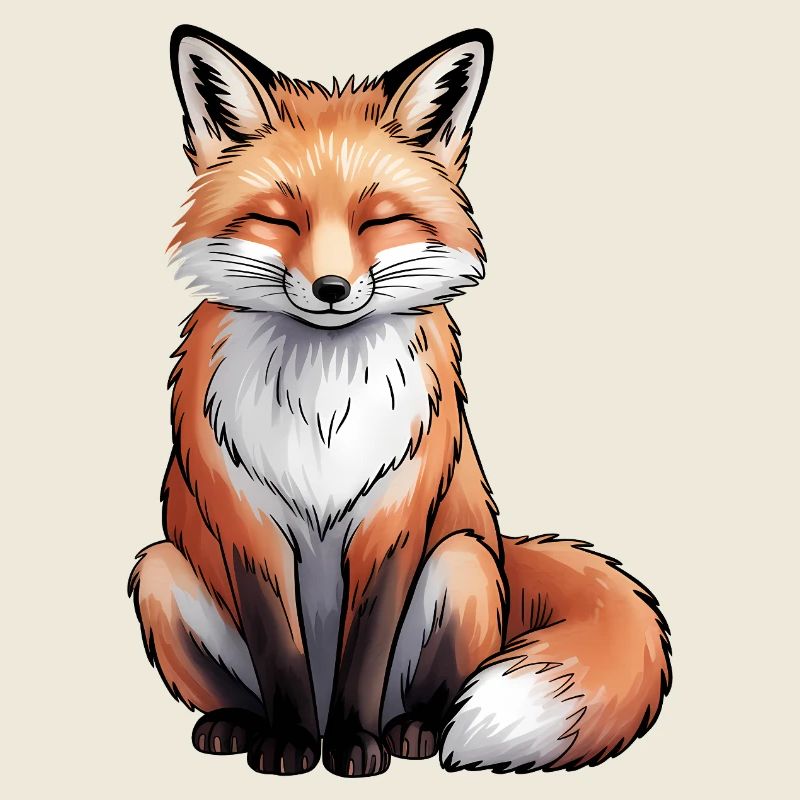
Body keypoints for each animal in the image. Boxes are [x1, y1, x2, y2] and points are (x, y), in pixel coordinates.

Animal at [128, 25, 672, 778]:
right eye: (277, 219)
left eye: (379, 221)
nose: (330, 288)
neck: (324, 409)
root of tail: (504, 547)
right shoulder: (248, 525)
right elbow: (279, 649)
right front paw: (291, 746)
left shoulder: (393, 518)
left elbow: (366, 650)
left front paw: (353, 747)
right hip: (158, 570)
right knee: (237, 687)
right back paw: (238, 725)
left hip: (463, 564)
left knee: (431, 696)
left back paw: (409, 733)